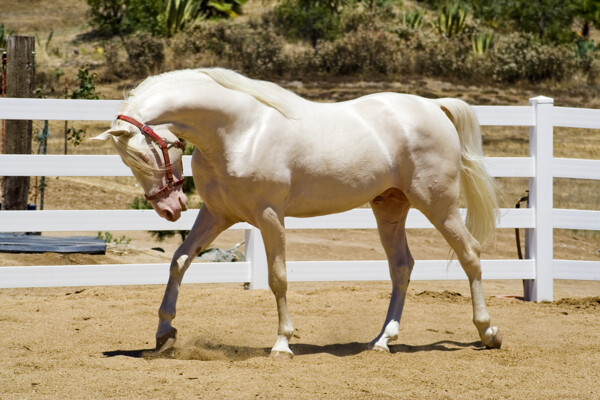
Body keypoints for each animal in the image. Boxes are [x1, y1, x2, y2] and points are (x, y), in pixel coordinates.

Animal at [95, 67, 502, 358]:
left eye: (153, 151)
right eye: (129, 161)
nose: (170, 208)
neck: (238, 131)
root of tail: (434, 106)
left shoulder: (270, 216)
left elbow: (278, 278)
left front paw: (282, 344)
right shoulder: (217, 214)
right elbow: (179, 260)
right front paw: (164, 334)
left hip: (438, 203)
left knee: (470, 254)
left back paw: (488, 332)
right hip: (390, 206)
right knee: (402, 266)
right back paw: (382, 341)